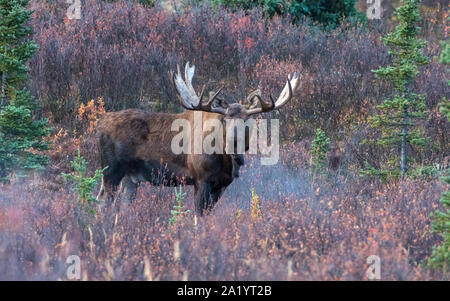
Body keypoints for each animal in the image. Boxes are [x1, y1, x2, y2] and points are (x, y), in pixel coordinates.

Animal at [96, 62, 298, 214]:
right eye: (225, 119)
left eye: (247, 120)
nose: (234, 141)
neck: (225, 161)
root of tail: (99, 125)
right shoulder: (200, 179)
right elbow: (198, 217)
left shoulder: (222, 185)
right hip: (111, 170)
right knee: (103, 202)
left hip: (130, 177)